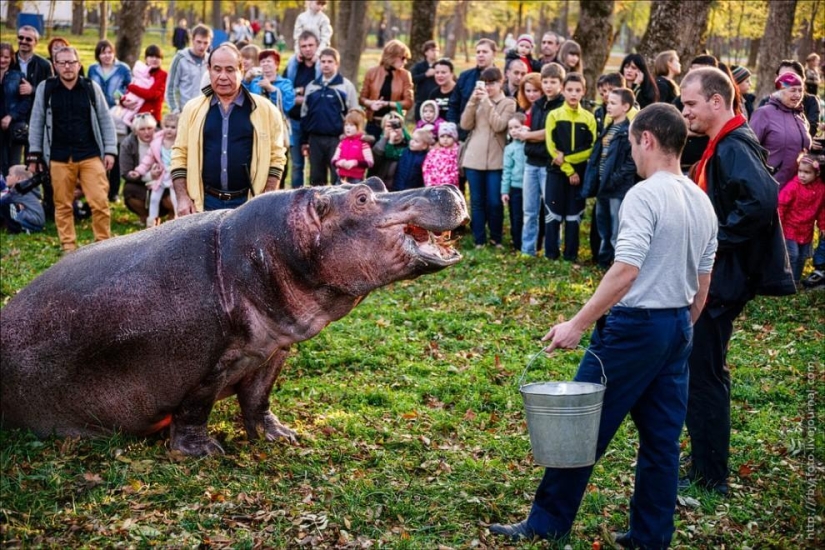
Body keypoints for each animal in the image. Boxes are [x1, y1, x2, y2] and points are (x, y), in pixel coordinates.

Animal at [1, 178, 468, 456]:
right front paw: (203, 452)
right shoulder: (207, 365)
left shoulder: (272, 350)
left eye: (376, 181)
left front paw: (281, 436)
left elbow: (258, 399)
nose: (447, 187)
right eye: (362, 198)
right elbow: (195, 408)